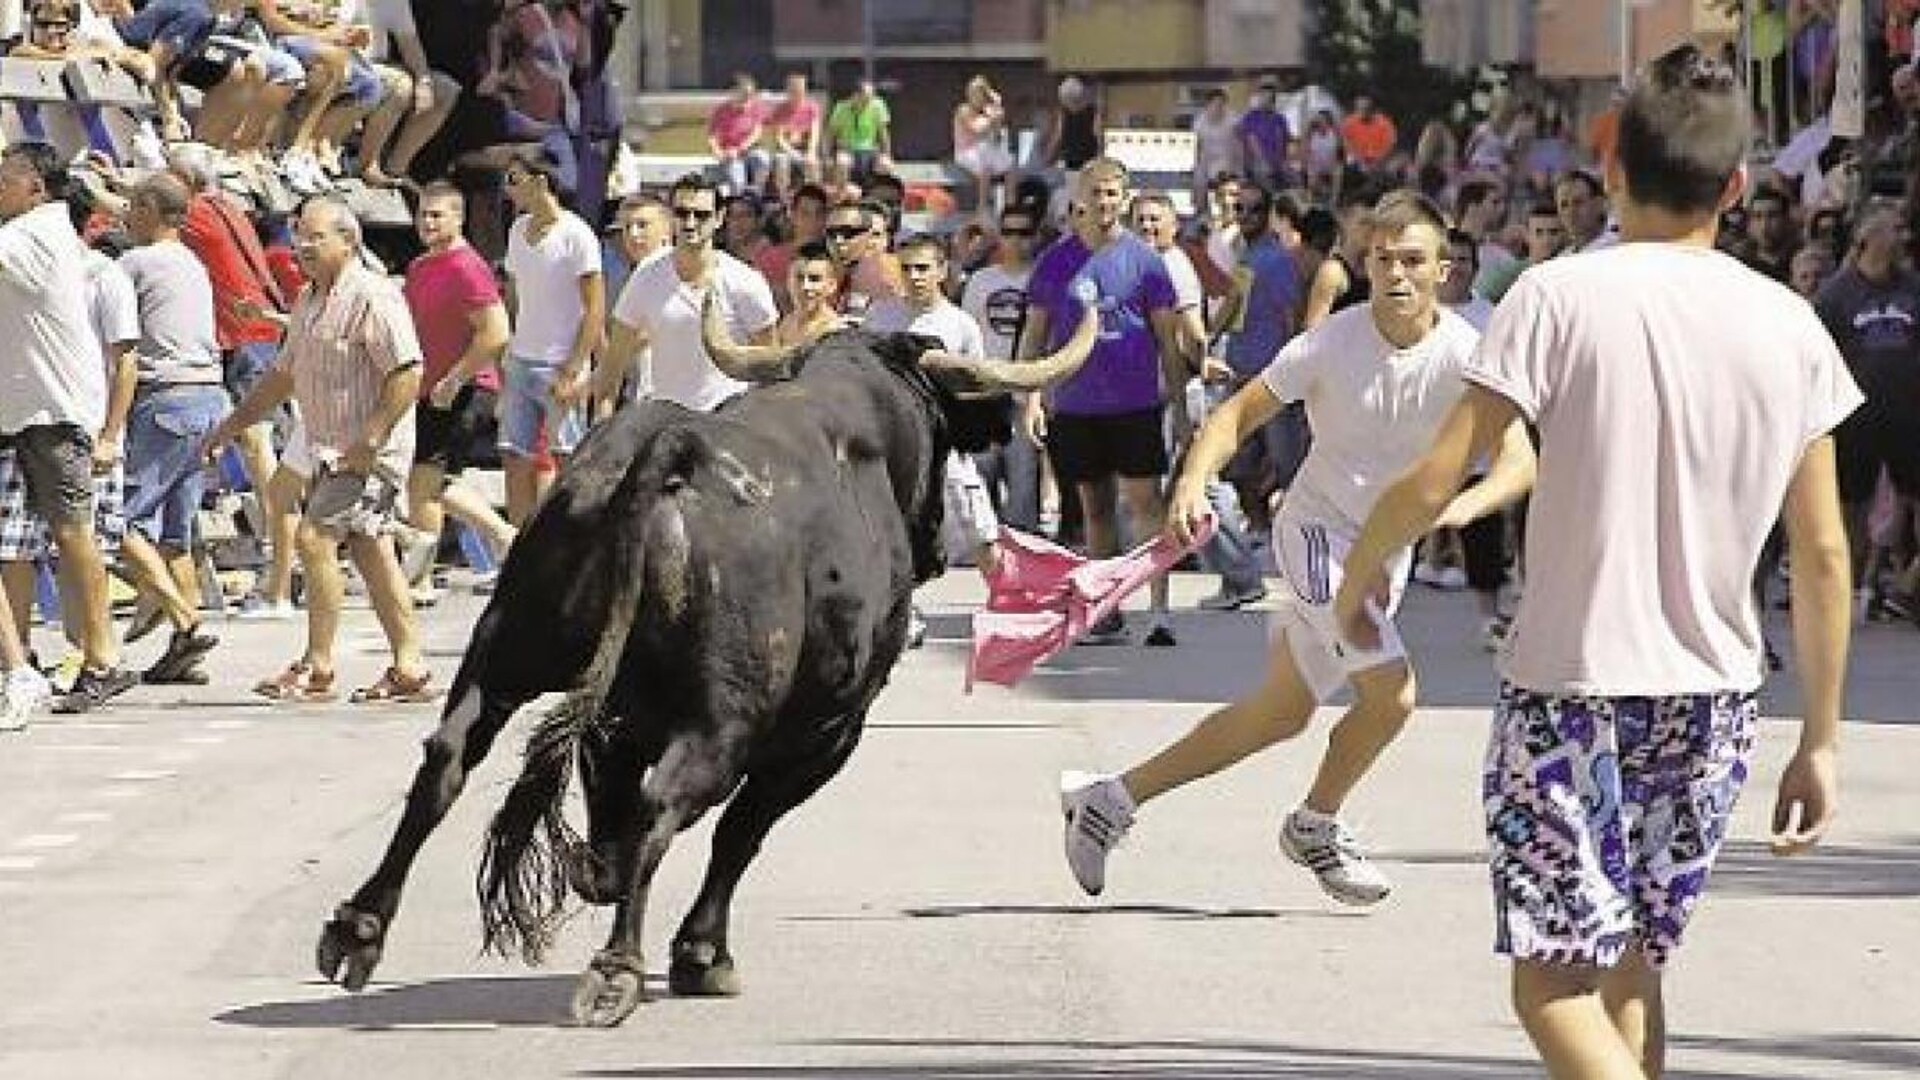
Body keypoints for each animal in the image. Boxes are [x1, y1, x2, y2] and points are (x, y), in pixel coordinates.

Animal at [314, 315, 1098, 1022]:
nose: (938, 542)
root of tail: (670, 451)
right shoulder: (828, 733)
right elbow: (741, 832)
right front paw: (701, 953)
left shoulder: (622, 718)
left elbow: (617, 813)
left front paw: (598, 872)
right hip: (725, 718)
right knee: (671, 804)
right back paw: (617, 968)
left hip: (507, 652)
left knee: (450, 759)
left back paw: (358, 928)